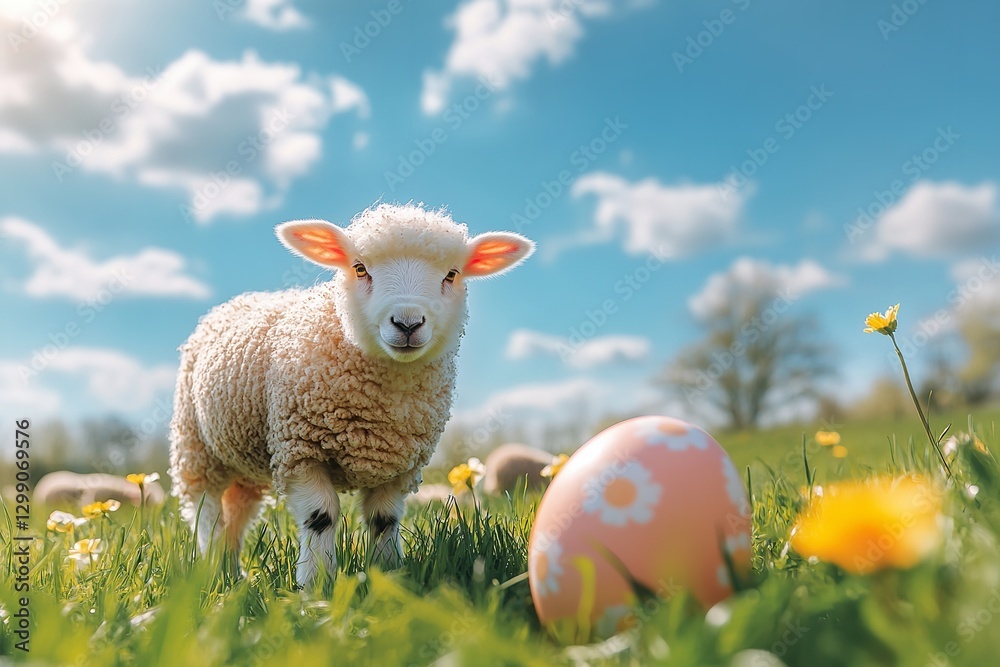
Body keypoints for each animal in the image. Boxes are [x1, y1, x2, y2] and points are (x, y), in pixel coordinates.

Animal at [168, 203, 534, 587]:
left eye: (452, 274)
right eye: (360, 269)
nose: (407, 323)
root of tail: (244, 297)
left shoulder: (398, 466)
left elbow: (384, 521)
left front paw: (388, 577)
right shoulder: (300, 451)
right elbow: (321, 516)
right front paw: (315, 584)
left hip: (244, 463)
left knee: (237, 514)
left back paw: (233, 574)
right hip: (197, 448)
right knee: (207, 512)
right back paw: (213, 571)